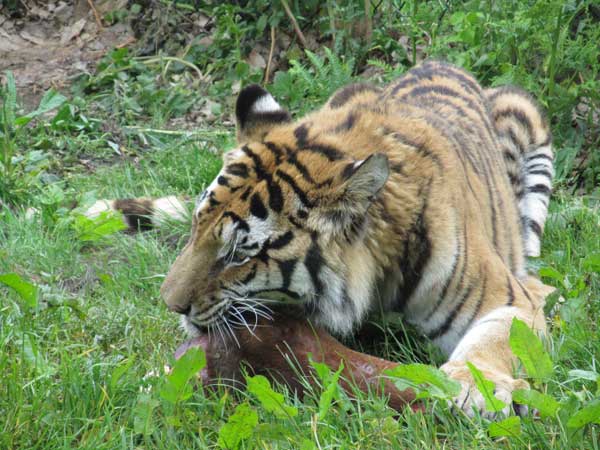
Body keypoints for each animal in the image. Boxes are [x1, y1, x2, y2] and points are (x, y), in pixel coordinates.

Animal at [86, 60, 556, 418]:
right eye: (195, 227)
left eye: (238, 254)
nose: (171, 305)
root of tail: (439, 63)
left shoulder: (506, 299)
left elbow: (494, 340)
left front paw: (474, 387)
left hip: (525, 120)